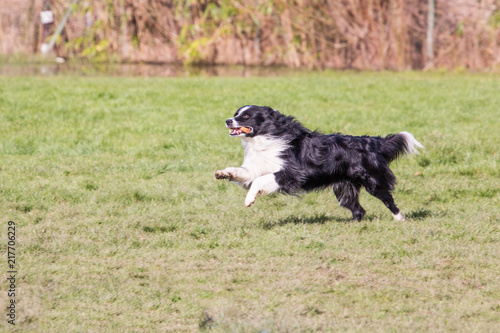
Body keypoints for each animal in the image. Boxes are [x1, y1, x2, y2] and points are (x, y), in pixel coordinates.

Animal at [215, 105, 422, 222]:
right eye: (235, 114)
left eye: (246, 116)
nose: (227, 121)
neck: (265, 138)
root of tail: (373, 141)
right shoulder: (255, 168)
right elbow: (242, 172)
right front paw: (223, 173)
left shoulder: (291, 173)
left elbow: (259, 181)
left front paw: (249, 199)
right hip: (343, 188)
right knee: (359, 210)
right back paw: (352, 224)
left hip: (372, 181)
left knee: (388, 199)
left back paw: (400, 219)